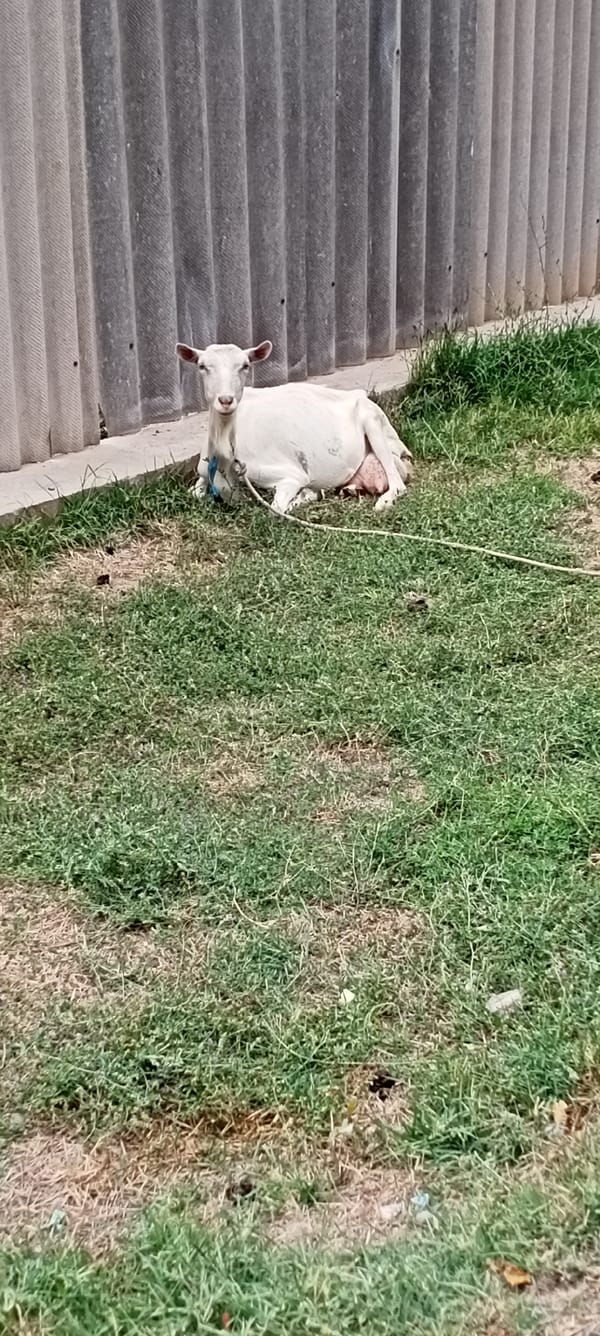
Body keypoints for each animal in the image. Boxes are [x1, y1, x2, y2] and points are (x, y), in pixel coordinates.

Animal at [176, 340, 412, 514]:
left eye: (245, 365)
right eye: (202, 366)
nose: (226, 400)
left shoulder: (290, 474)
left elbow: (277, 508)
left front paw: (308, 494)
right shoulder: (203, 473)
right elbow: (193, 493)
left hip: (374, 423)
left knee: (397, 483)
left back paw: (383, 502)